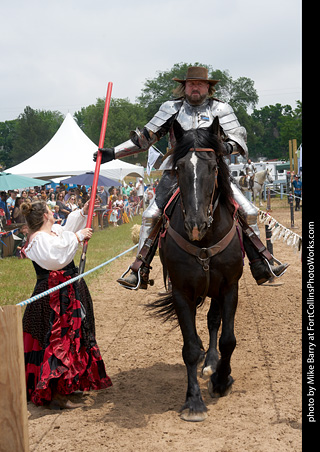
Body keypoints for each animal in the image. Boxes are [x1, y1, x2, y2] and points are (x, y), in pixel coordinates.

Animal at [148, 118, 242, 422]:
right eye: (179, 168)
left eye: (212, 167)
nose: (196, 224)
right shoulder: (181, 292)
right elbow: (189, 346)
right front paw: (194, 402)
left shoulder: (230, 287)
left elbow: (227, 339)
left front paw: (222, 380)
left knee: (214, 322)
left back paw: (212, 363)